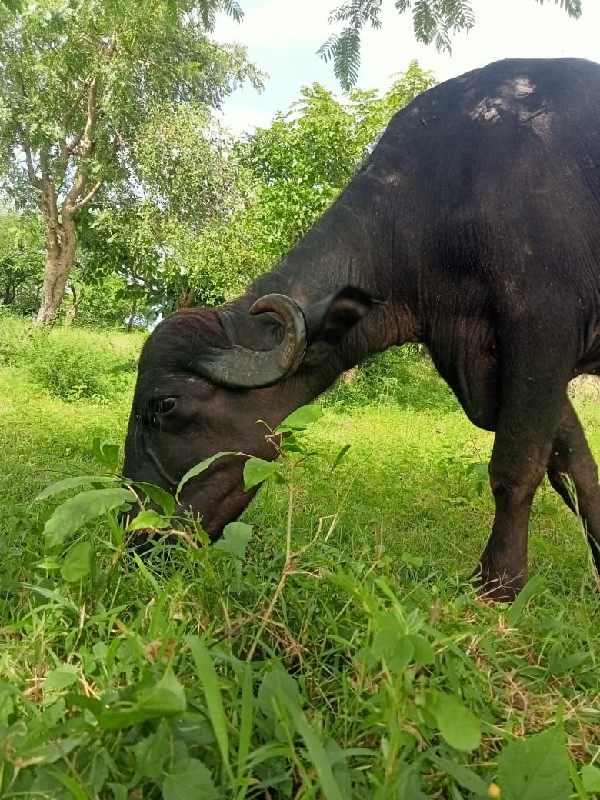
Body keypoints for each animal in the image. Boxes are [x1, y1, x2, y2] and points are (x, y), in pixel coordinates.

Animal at [124, 57, 600, 600]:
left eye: (164, 405)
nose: (135, 533)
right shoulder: (492, 360)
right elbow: (575, 467)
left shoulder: (541, 334)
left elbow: (516, 466)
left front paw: (498, 582)